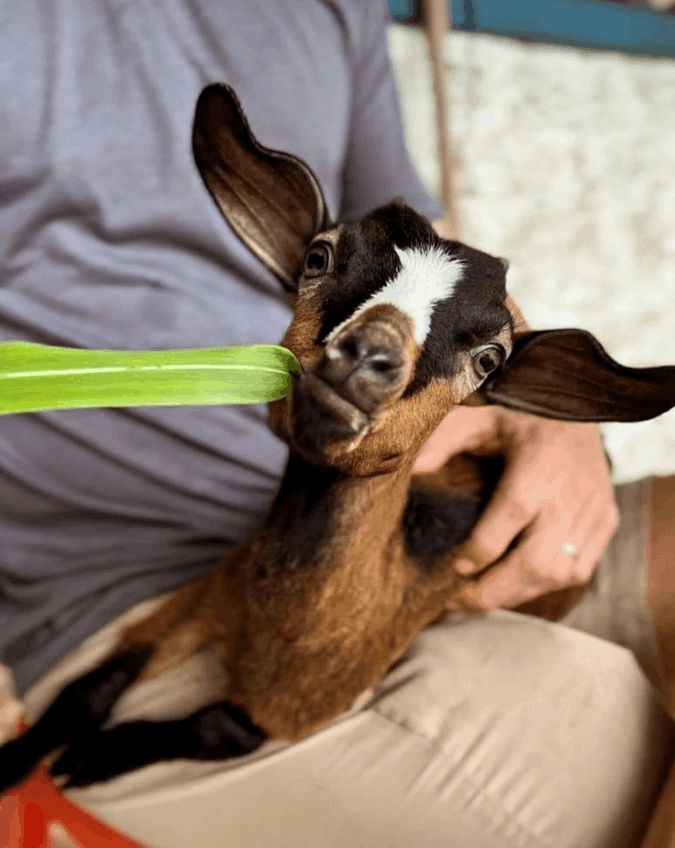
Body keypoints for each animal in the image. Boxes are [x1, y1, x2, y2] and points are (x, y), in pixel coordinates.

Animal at [1, 83, 675, 792]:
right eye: (317, 257)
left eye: (490, 359)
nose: (370, 356)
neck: (280, 626)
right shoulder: (201, 598)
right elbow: (89, 686)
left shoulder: (305, 706)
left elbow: (216, 725)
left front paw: (93, 758)